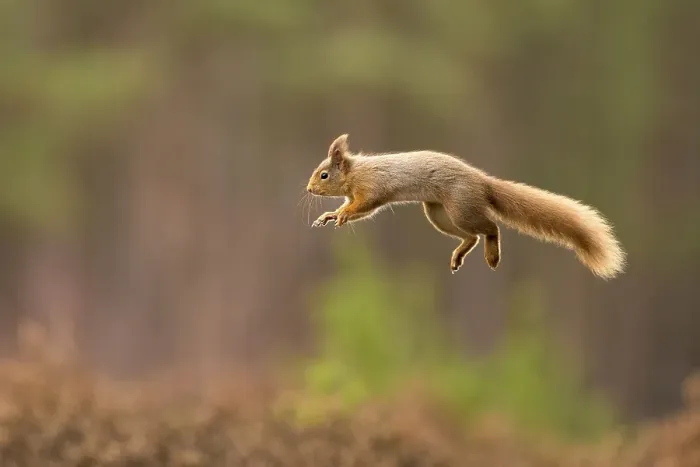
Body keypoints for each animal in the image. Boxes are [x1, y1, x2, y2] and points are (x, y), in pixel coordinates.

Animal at [306, 134, 626, 279]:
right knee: (470, 236)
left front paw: (341, 214)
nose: (309, 189)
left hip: (461, 208)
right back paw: (459, 255)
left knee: (490, 227)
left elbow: (364, 206)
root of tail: (483, 182)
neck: (354, 172)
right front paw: (330, 215)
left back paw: (492, 255)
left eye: (323, 175)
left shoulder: (372, 188)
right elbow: (358, 210)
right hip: (438, 213)